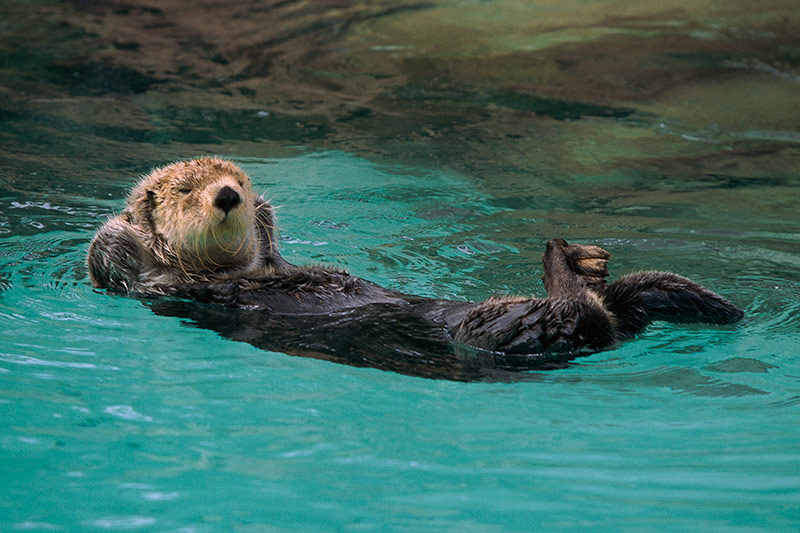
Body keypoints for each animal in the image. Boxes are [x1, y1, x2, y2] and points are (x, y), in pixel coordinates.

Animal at [88, 158, 743, 377]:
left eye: (244, 183)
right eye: (183, 190)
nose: (228, 195)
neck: (235, 274)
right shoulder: (171, 289)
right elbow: (120, 265)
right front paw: (122, 233)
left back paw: (590, 269)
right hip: (496, 332)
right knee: (562, 316)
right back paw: (566, 266)